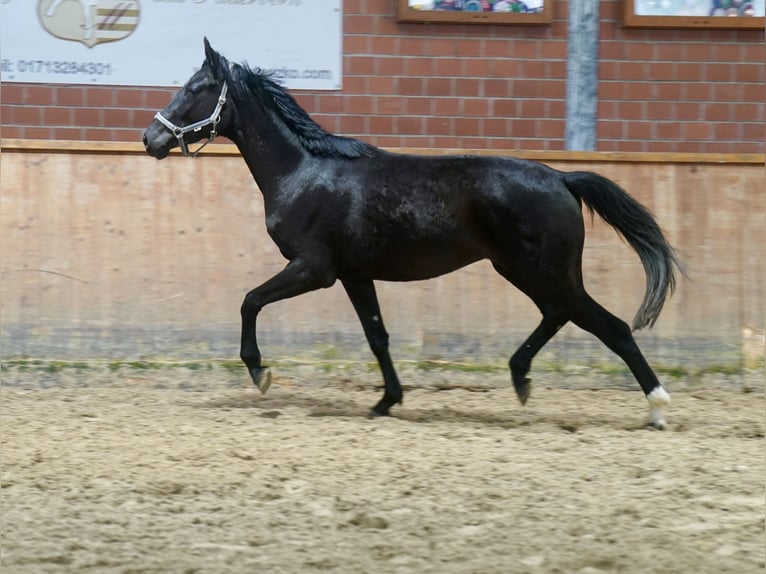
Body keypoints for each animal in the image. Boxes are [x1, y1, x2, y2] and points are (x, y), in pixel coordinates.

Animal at [146, 39, 684, 428]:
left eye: (194, 88)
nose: (150, 138)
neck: (303, 172)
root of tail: (561, 178)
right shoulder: (354, 274)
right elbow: (377, 336)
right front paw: (387, 401)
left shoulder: (313, 269)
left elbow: (250, 301)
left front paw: (261, 373)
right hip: (526, 271)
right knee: (559, 315)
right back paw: (520, 379)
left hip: (543, 271)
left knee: (611, 327)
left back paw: (657, 408)